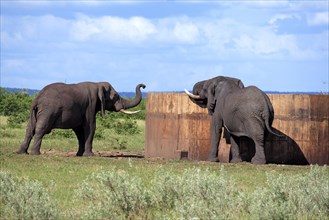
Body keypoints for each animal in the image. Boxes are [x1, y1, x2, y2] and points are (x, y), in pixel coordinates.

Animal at [16, 81, 145, 156]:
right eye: (116, 96)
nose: (143, 85)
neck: (97, 84)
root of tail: (37, 99)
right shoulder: (90, 104)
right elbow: (91, 127)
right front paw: (90, 155)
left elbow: (79, 130)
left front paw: (79, 154)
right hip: (48, 111)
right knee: (40, 129)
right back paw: (36, 154)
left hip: (33, 112)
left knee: (29, 129)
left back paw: (22, 153)